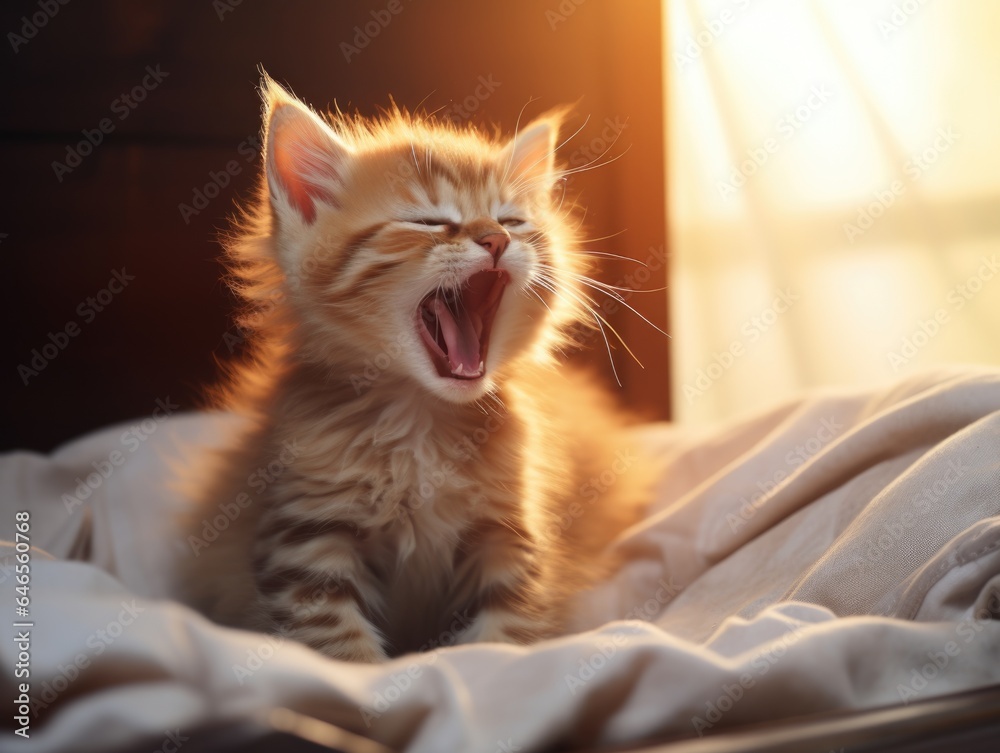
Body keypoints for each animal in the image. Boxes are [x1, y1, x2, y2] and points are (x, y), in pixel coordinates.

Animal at [180, 76, 656, 660]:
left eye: (512, 221)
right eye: (430, 222)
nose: (496, 239)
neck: (422, 422)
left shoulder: (509, 534)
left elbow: (506, 637)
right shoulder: (305, 540)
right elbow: (339, 648)